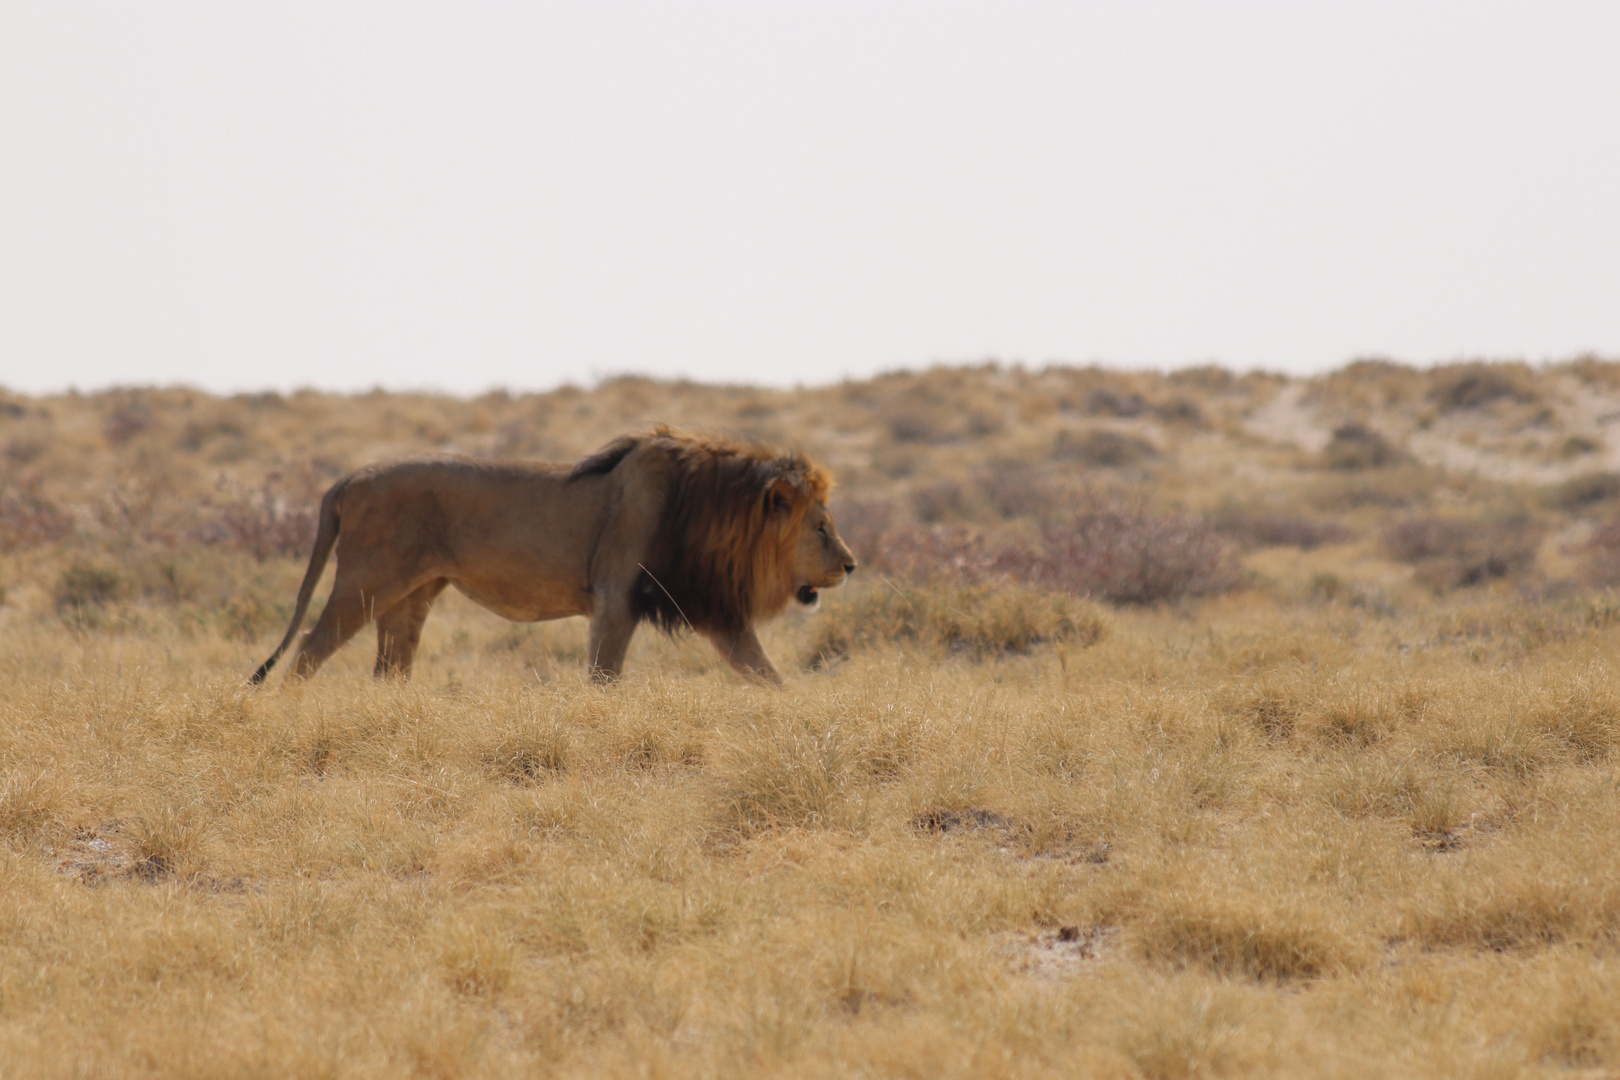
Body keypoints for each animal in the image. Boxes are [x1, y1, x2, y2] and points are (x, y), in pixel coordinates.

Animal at [249, 427, 861, 689]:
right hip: (365, 581)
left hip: (412, 597)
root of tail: (349, 478)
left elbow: (766, 674)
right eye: (821, 527)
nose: (852, 565)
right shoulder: (616, 600)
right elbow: (603, 677)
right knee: (307, 652)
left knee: (389, 669)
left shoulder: (715, 613)